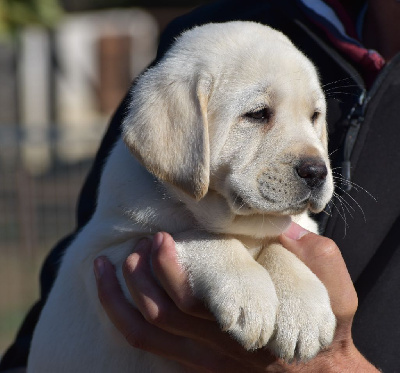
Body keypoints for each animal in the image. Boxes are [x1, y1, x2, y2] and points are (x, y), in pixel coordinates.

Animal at [27, 21, 334, 370]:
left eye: (314, 116)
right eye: (257, 114)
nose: (317, 172)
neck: (242, 224)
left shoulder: (301, 227)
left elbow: (283, 248)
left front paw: (304, 314)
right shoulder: (105, 258)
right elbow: (202, 239)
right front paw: (248, 293)